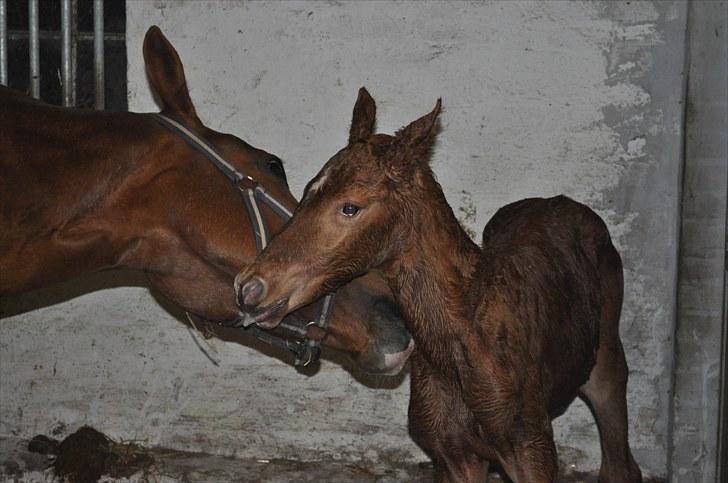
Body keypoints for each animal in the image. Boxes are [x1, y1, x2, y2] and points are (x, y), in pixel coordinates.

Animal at [236, 89, 640, 482]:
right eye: (307, 190)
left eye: (350, 207)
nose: (250, 286)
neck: (461, 344)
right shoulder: (452, 456)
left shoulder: (532, 451)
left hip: (606, 370)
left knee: (621, 465)